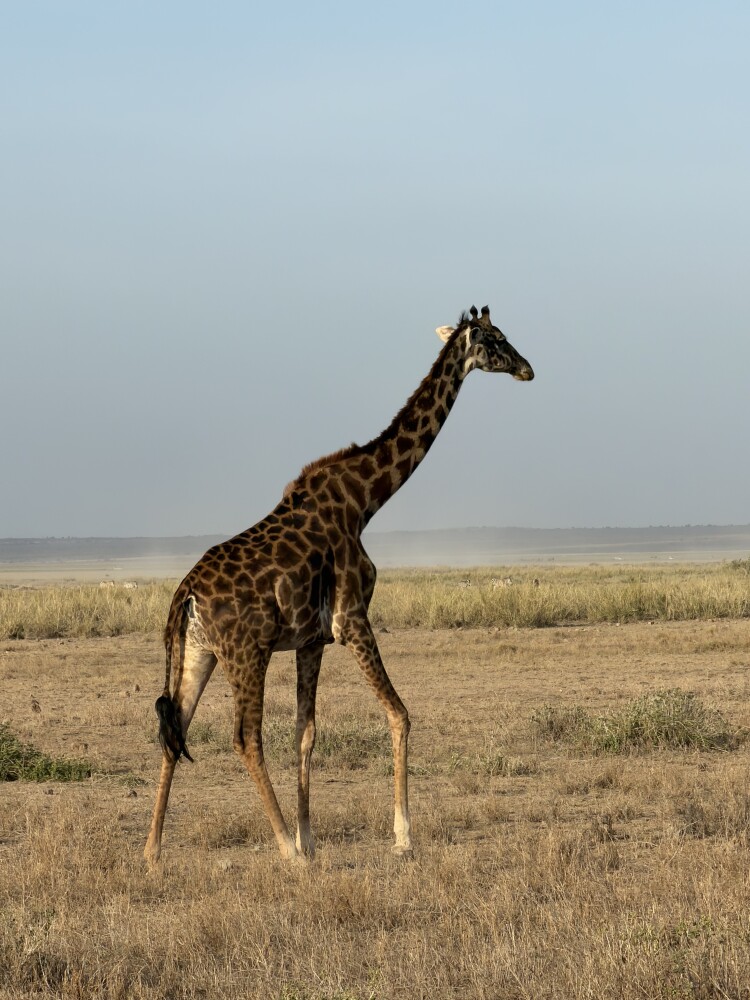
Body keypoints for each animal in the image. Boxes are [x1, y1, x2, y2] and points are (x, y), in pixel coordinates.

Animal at [144, 305, 534, 864]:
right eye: (497, 339)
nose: (528, 369)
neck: (364, 500)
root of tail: (185, 595)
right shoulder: (352, 620)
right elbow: (400, 715)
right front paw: (401, 836)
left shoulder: (312, 639)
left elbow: (305, 733)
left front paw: (312, 838)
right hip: (247, 653)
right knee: (244, 737)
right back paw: (284, 849)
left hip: (199, 652)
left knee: (175, 728)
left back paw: (152, 851)